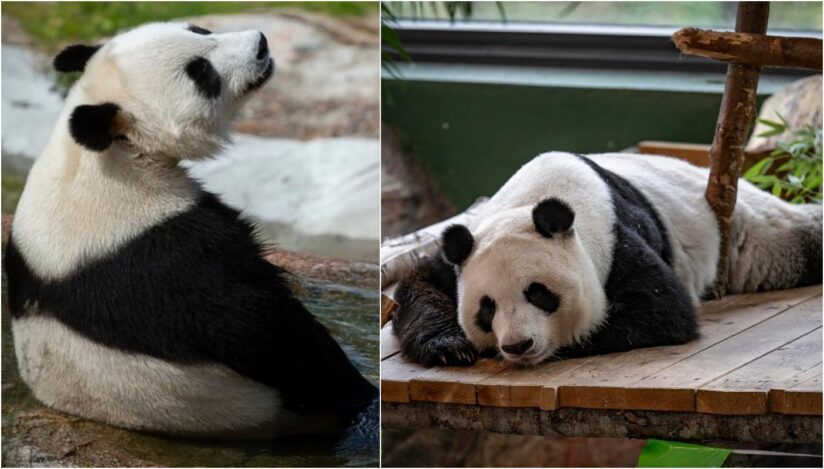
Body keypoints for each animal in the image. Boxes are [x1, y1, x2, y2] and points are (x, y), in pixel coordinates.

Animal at [4, 22, 376, 437]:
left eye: (199, 28)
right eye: (201, 72)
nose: (261, 43)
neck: (110, 155)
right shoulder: (158, 249)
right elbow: (257, 327)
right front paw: (356, 383)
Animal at [393, 152, 822, 367]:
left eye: (538, 293)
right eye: (487, 307)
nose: (518, 345)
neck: (537, 197)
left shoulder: (616, 239)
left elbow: (661, 310)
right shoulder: (470, 242)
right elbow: (419, 283)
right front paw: (450, 346)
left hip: (755, 237)